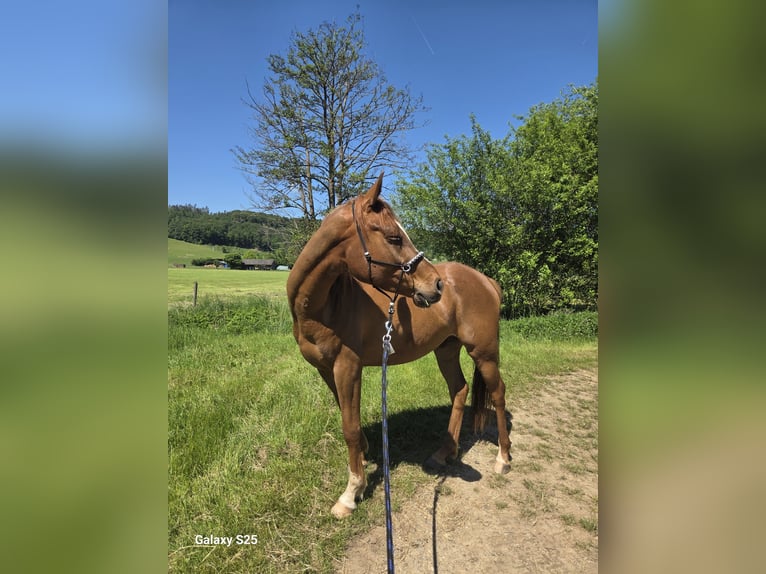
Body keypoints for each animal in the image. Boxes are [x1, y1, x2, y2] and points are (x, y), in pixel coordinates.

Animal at [286, 173, 511, 518]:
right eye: (393, 237)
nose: (436, 285)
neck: (326, 305)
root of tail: (487, 281)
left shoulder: (347, 368)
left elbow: (349, 427)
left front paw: (350, 493)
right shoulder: (327, 370)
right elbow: (349, 419)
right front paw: (363, 461)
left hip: (484, 353)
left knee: (497, 393)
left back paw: (503, 458)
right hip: (447, 350)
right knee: (459, 390)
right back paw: (443, 453)